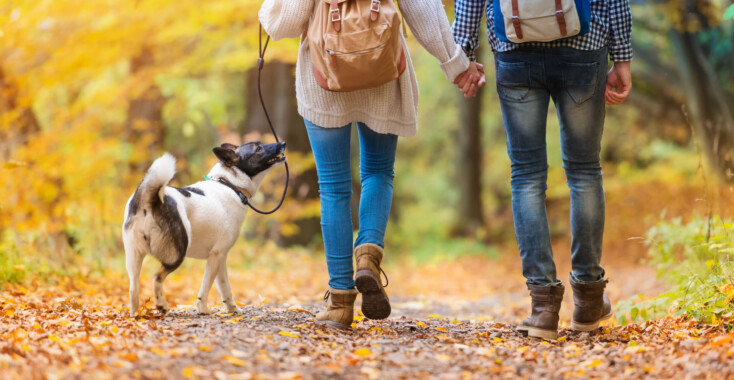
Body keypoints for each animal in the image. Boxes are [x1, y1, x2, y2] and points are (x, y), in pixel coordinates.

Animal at [122, 141, 286, 316]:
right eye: (258, 148)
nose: (282, 143)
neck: (230, 185)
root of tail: (150, 199)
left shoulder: (221, 258)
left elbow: (225, 288)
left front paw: (232, 309)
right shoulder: (216, 256)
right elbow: (206, 287)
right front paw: (203, 310)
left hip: (134, 258)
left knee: (133, 289)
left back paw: (136, 316)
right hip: (176, 254)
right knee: (157, 277)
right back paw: (161, 305)